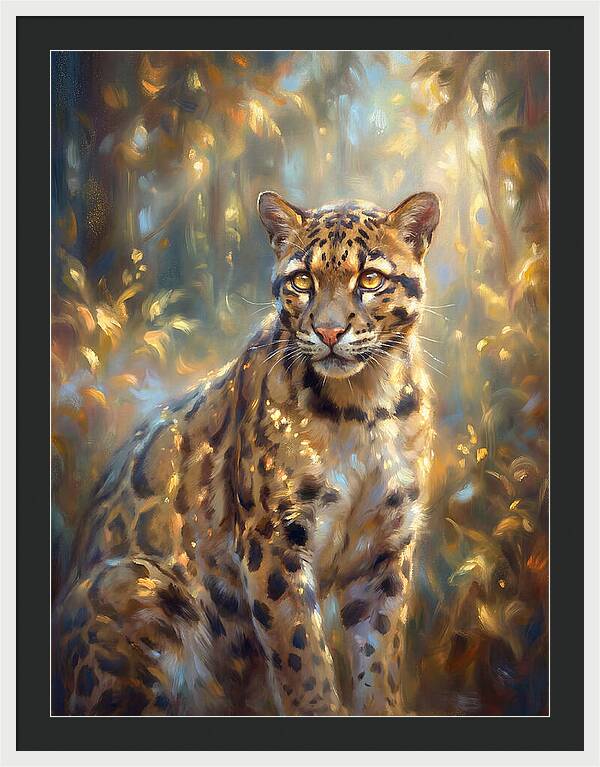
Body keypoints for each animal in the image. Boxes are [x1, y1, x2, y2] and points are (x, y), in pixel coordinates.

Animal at [53, 189, 440, 716]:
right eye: (302, 280)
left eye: (370, 279)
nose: (329, 332)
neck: (364, 408)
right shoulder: (274, 542)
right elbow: (302, 661)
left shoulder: (385, 550)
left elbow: (378, 660)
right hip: (136, 583)